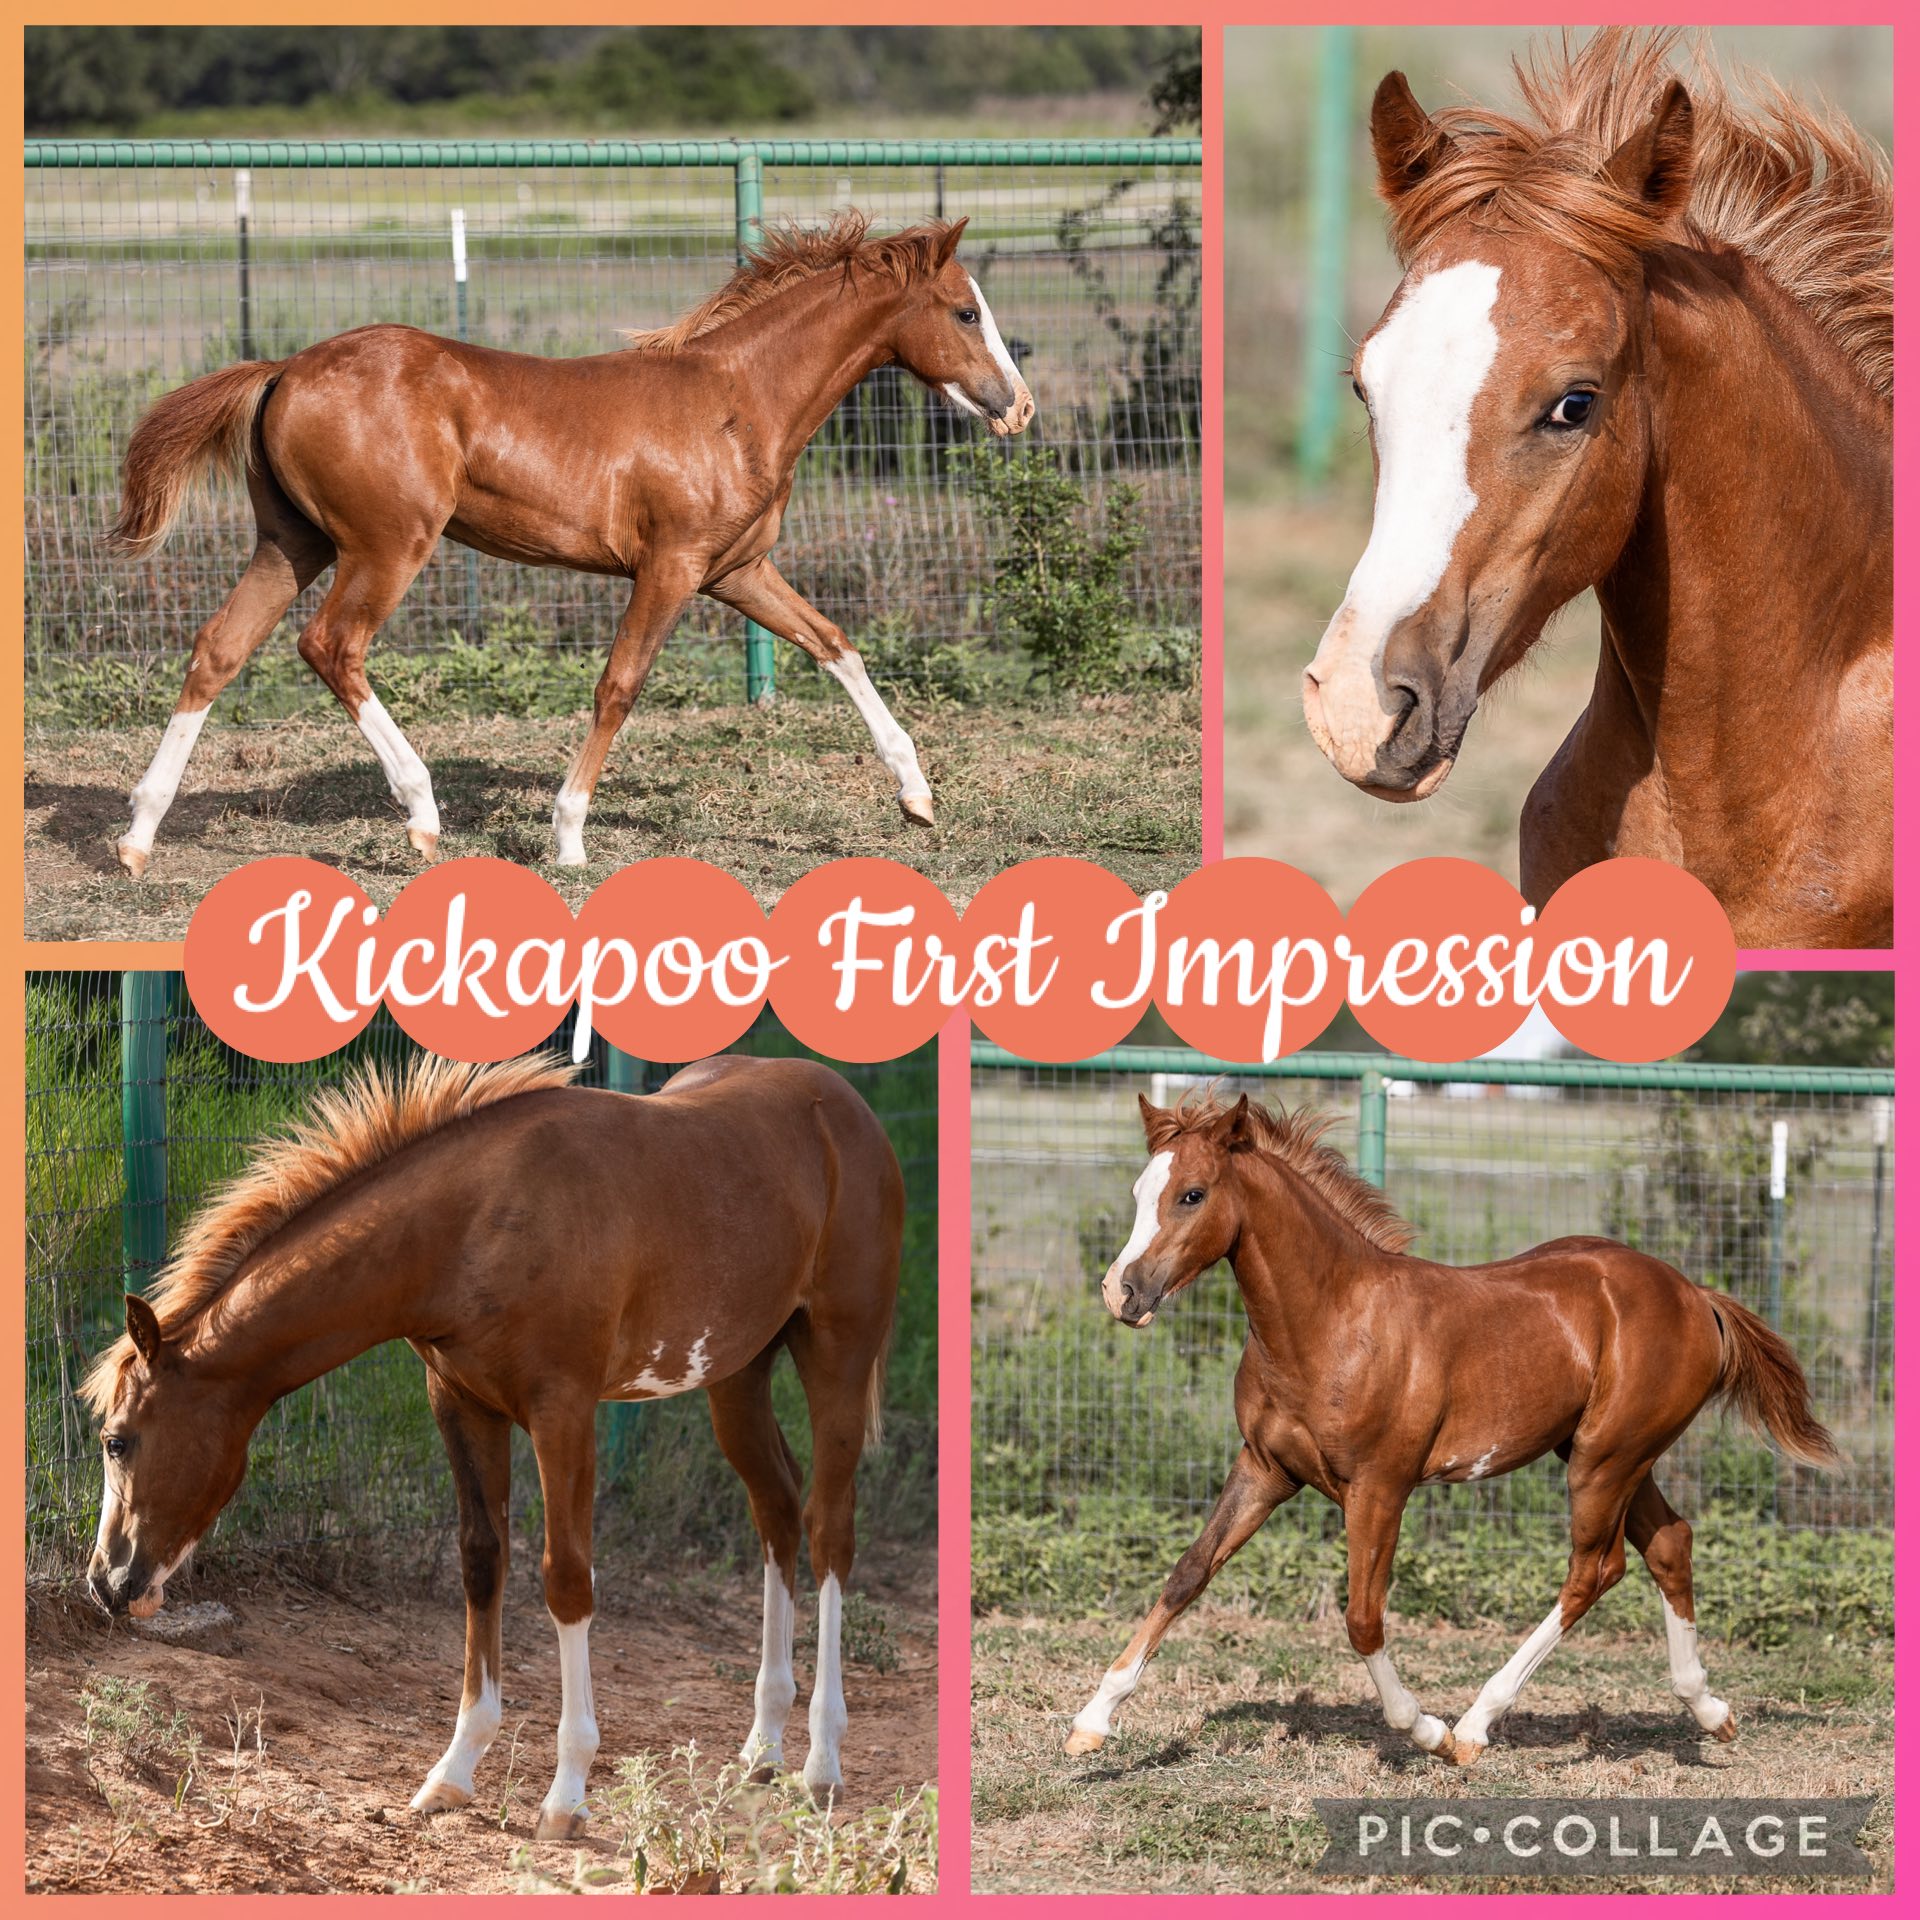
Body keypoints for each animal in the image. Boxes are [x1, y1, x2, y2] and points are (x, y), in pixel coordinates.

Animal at [81, 1051, 903, 1834]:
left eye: (118, 1440)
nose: (107, 1582)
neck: (473, 1227)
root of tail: (848, 1109)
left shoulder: (563, 1411)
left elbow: (566, 1578)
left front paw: (567, 1795)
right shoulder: (462, 1404)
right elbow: (482, 1562)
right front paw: (453, 1770)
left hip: (837, 1354)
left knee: (828, 1531)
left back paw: (821, 1763)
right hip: (736, 1377)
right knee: (777, 1511)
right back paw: (763, 1747)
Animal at [106, 212, 1035, 879]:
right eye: (965, 312)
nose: (1018, 406)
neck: (739, 401)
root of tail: (283, 369)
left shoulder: (738, 572)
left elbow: (836, 645)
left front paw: (917, 796)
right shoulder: (670, 569)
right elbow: (618, 688)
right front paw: (568, 836)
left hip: (290, 544)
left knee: (219, 649)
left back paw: (139, 834)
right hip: (385, 546)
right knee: (332, 646)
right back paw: (422, 816)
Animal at [1065, 1090, 1838, 1766]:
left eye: (1192, 1195)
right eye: (1139, 1191)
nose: (1120, 1291)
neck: (1330, 1322)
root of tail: (1695, 1295)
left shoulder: (1380, 1487)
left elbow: (1363, 1618)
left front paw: (1427, 1731)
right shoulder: (1265, 1467)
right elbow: (1188, 1573)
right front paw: (1091, 1723)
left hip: (1605, 1460)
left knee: (1595, 1569)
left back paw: (1474, 1726)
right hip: (1615, 1456)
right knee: (1670, 1544)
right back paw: (1709, 1710)